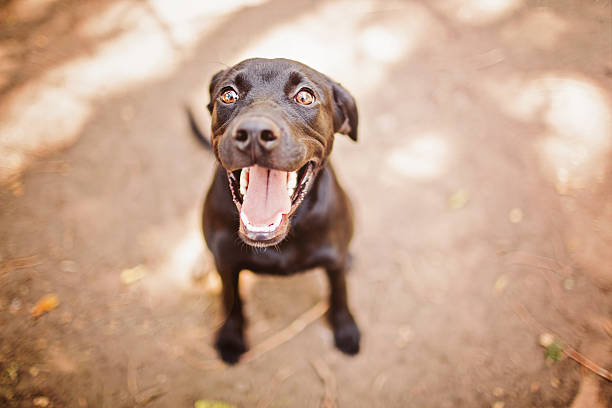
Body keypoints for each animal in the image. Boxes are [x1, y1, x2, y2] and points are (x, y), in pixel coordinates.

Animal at [196, 58, 358, 364]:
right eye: (228, 95)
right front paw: (231, 337)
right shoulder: (226, 264)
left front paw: (346, 329)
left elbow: (340, 293)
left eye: (305, 97)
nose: (254, 133)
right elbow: (231, 300)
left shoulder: (333, 262)